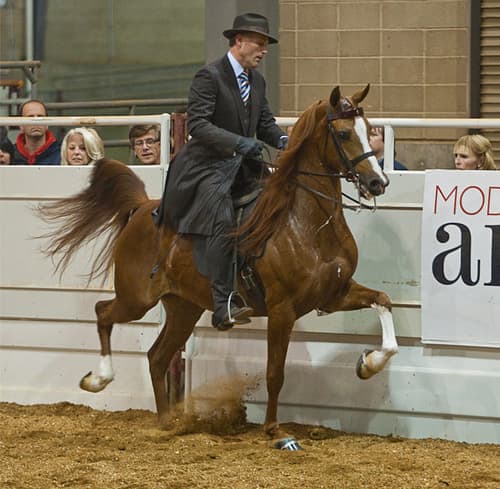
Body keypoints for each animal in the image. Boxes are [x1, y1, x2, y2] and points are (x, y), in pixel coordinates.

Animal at [38, 84, 398, 438]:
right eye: (344, 133)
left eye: (369, 129)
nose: (378, 182)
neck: (304, 222)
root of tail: (141, 208)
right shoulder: (282, 309)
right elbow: (275, 372)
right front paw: (274, 430)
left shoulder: (334, 294)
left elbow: (383, 303)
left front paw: (368, 364)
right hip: (136, 299)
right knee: (103, 313)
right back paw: (97, 380)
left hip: (183, 307)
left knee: (157, 357)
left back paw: (166, 422)